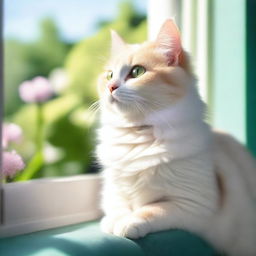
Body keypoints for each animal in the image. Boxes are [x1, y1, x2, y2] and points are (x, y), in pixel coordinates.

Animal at [95, 20, 256, 256]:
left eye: (137, 72)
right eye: (109, 75)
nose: (110, 87)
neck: (138, 134)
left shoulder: (192, 204)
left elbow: (152, 208)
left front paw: (129, 223)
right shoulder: (113, 192)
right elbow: (119, 206)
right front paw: (114, 221)